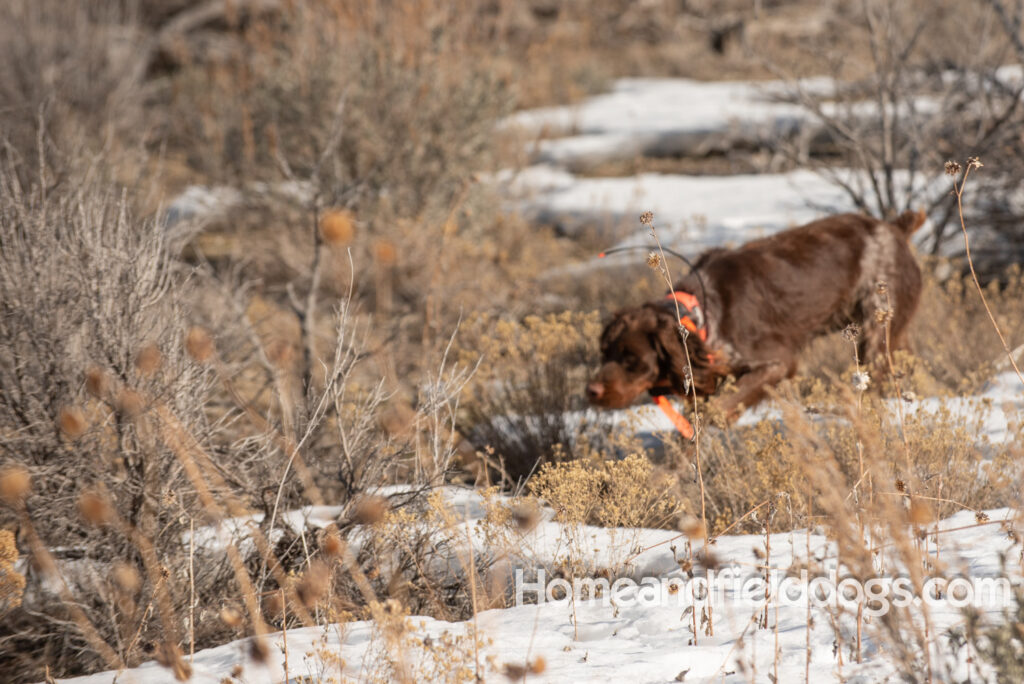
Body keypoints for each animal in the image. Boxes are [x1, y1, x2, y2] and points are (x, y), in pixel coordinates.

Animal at [585, 208, 929, 421]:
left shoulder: (777, 362)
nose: (591, 391)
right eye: (603, 353)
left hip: (876, 328)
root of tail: (894, 228)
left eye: (632, 360)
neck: (702, 315)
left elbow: (719, 408)